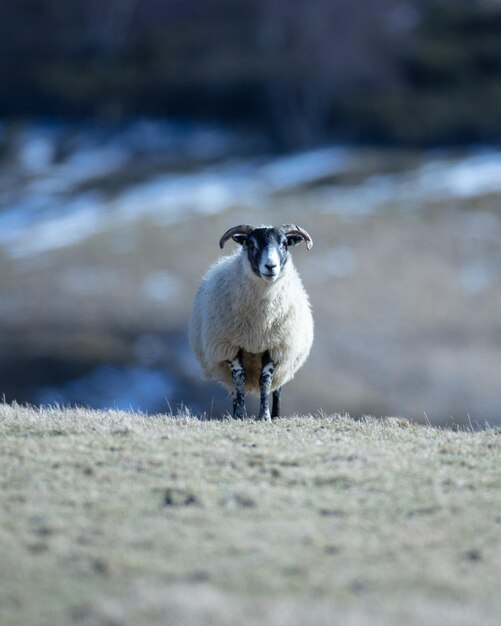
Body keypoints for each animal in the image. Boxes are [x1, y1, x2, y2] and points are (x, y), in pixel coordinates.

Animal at [188, 224, 312, 420]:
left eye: (284, 243)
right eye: (251, 244)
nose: (270, 266)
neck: (259, 323)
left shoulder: (274, 347)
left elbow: (265, 381)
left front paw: (265, 417)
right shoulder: (229, 346)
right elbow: (239, 379)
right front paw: (240, 415)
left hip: (284, 363)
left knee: (277, 389)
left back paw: (276, 416)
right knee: (235, 387)